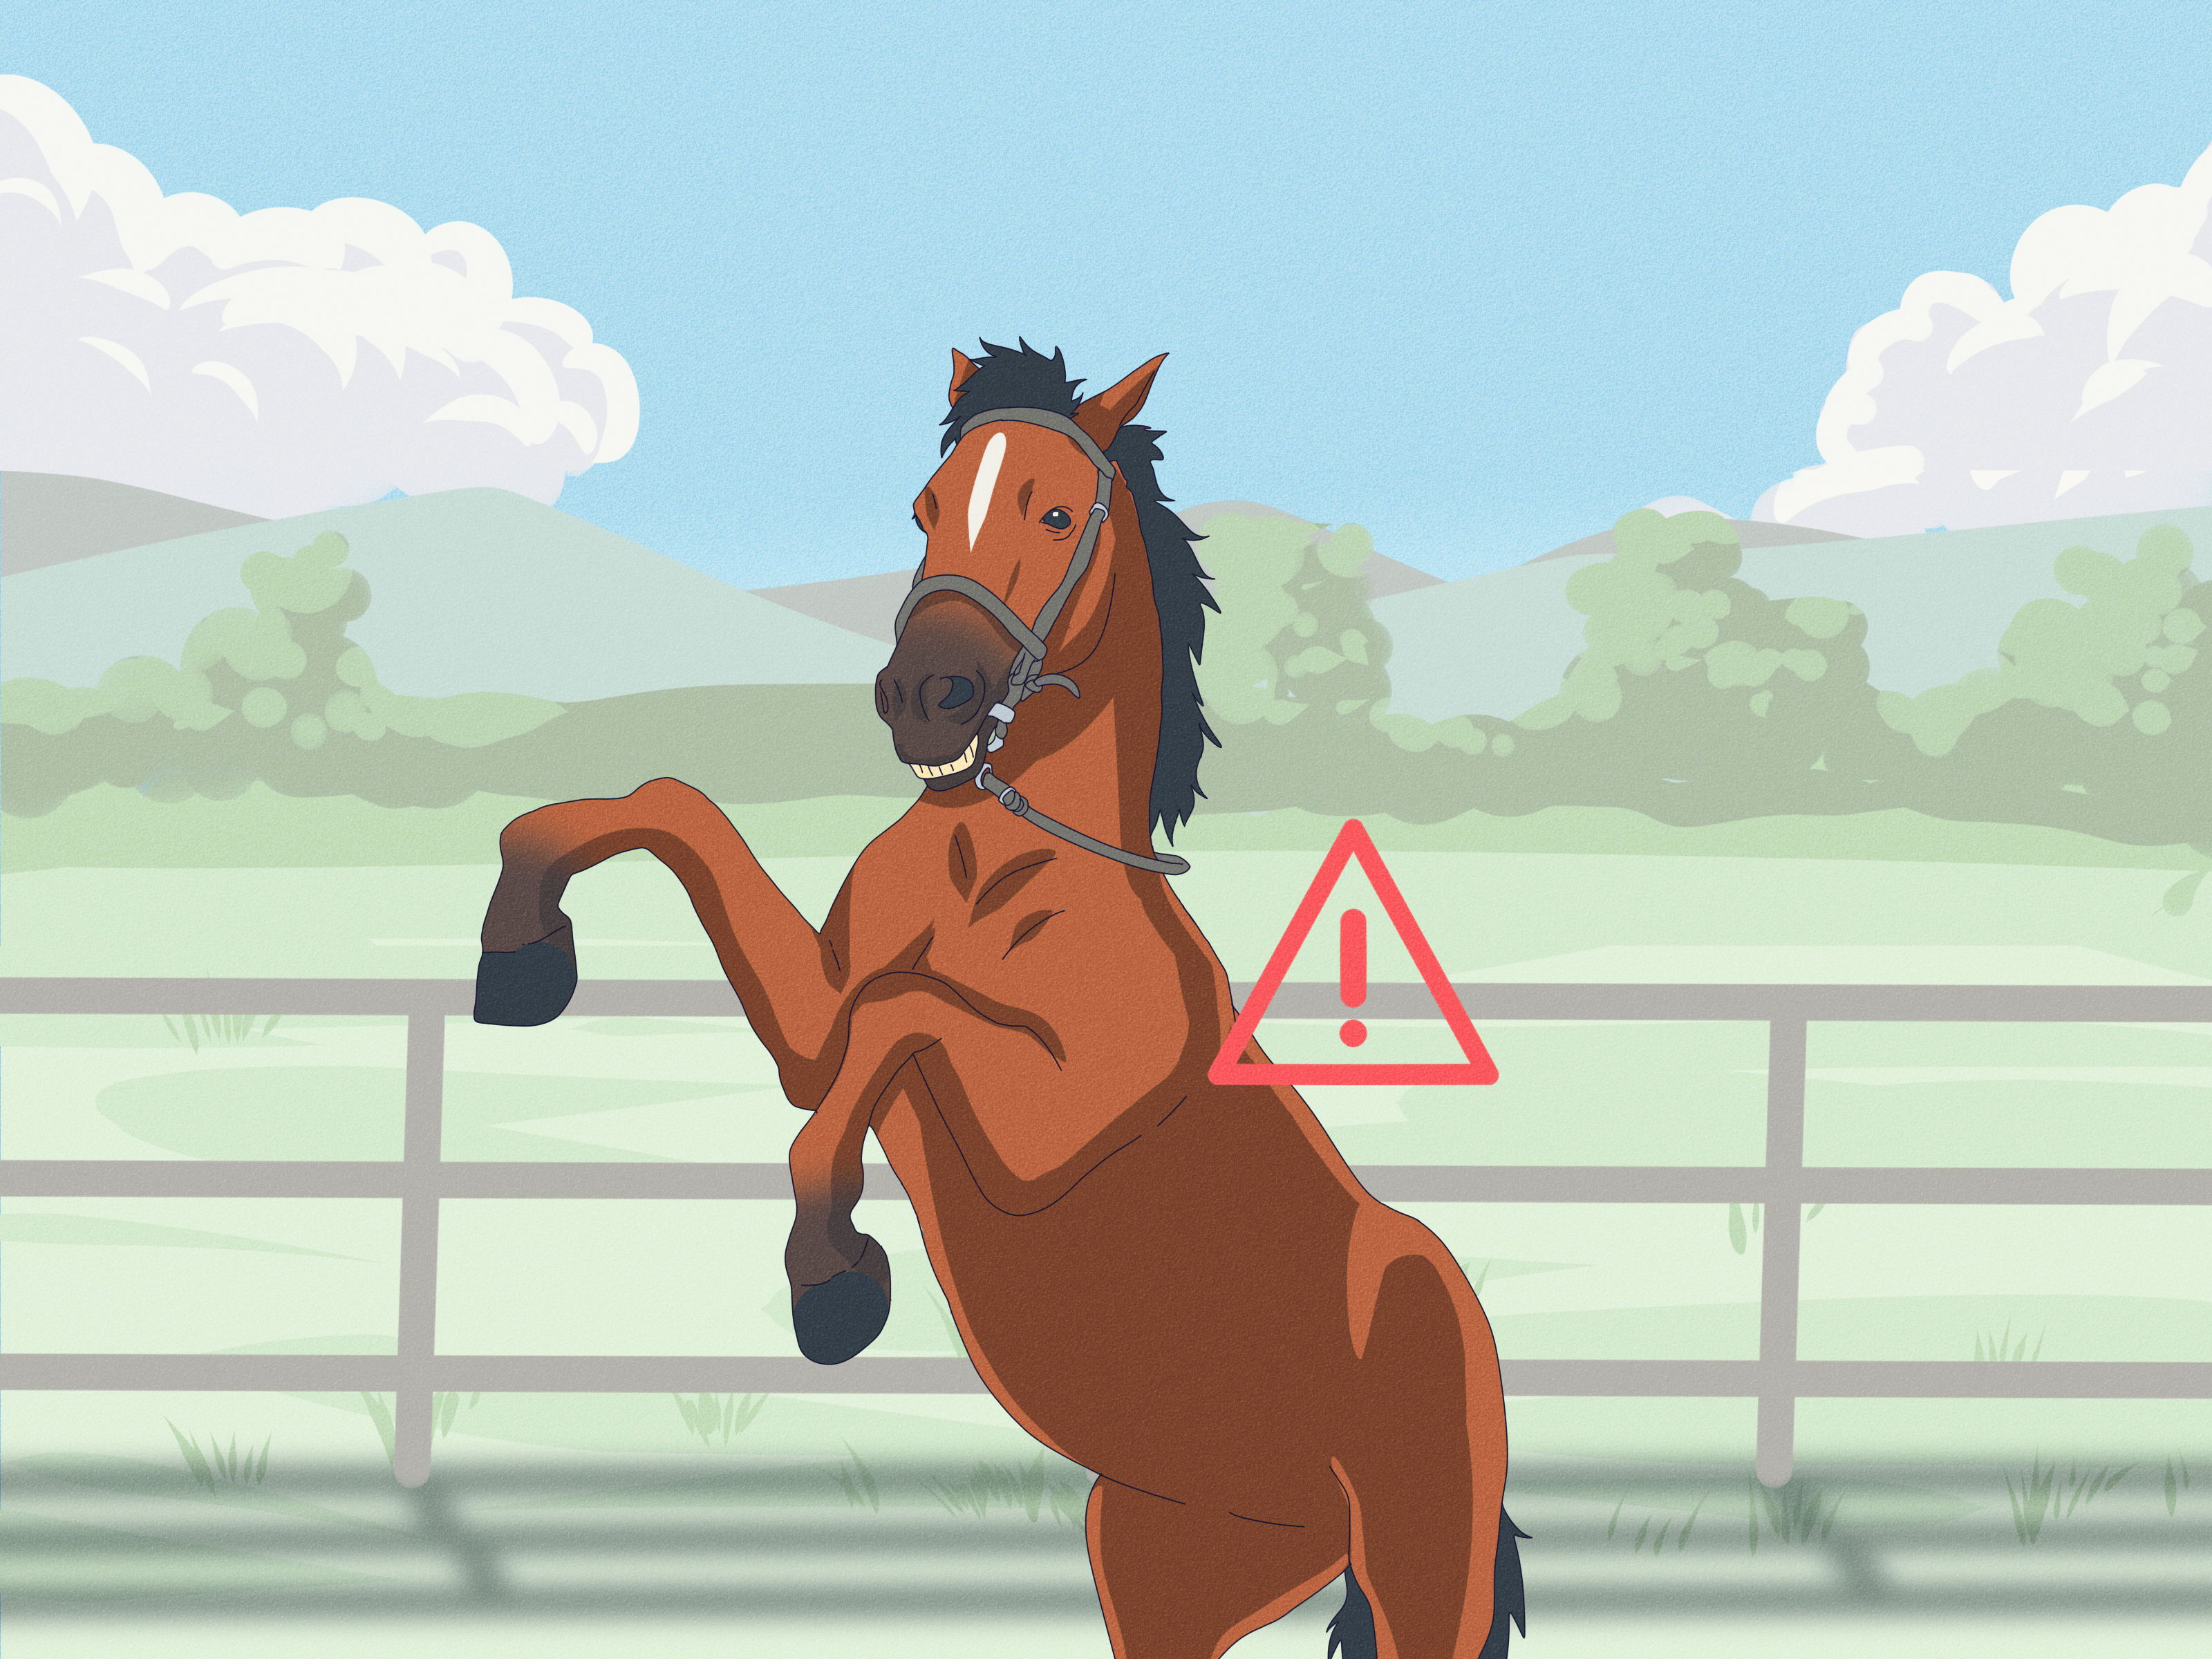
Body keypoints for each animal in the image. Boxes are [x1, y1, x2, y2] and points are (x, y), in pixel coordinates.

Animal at [473, 339, 1525, 1658]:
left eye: (1061, 515)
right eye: (927, 508)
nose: (928, 693)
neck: (998, 863)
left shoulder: (1044, 1131)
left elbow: (908, 1011)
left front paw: (835, 1281)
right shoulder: (814, 1032)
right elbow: (683, 814)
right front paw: (520, 955)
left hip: (1419, 1570)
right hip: (1170, 1561)